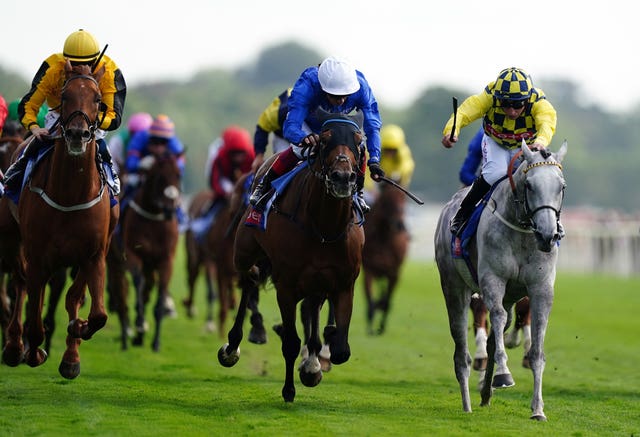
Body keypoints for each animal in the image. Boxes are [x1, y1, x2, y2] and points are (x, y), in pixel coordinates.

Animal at [0, 62, 117, 378]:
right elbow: (34, 319)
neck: (69, 195)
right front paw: (33, 351)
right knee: (20, 285)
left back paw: (69, 354)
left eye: (98, 99)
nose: (78, 134)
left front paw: (77, 334)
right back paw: (14, 347)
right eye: (65, 96)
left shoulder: (94, 254)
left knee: (68, 297)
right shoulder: (38, 256)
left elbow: (96, 314)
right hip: (13, 241)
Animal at [122, 152, 182, 350]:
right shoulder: (133, 254)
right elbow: (138, 284)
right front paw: (140, 323)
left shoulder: (166, 261)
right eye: (160, 177)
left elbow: (160, 295)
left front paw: (156, 342)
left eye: (178, 175)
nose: (170, 208)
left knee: (149, 289)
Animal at [219, 110, 364, 402]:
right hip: (244, 251)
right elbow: (290, 342)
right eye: (324, 140)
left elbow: (340, 349)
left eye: (358, 141)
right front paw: (289, 389)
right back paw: (234, 346)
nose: (343, 177)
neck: (324, 228)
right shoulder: (286, 285)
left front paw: (315, 363)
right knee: (249, 279)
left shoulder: (343, 283)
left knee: (309, 308)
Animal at [360, 181, 410, 334]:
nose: (399, 224)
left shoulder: (394, 272)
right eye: (387, 200)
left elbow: (387, 302)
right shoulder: (369, 268)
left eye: (404, 199)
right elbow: (370, 300)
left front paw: (381, 327)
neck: (384, 237)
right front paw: (371, 327)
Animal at [436, 140, 564, 418]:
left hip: (510, 296)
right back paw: (468, 402)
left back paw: (486, 391)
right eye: (529, 185)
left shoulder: (541, 289)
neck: (523, 233)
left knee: (495, 337)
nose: (548, 235)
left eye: (561, 187)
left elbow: (536, 349)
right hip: (454, 288)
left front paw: (538, 409)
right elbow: (495, 317)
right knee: (461, 351)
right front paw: (504, 374)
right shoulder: (492, 280)